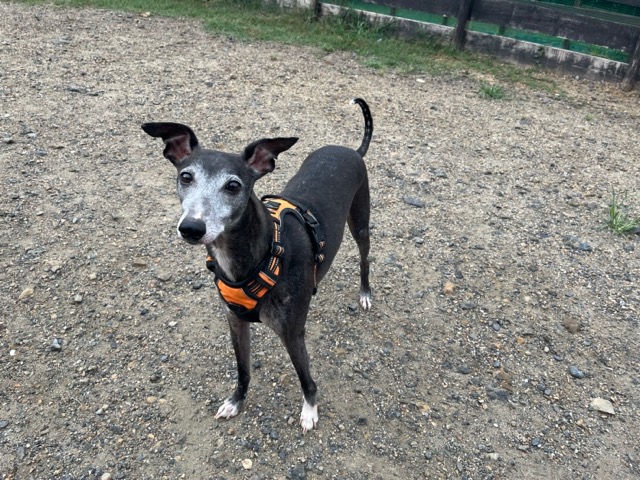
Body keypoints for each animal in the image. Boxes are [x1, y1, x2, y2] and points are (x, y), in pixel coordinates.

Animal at [141, 98, 372, 432]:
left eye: (233, 185)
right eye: (186, 177)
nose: (191, 228)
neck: (256, 257)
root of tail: (352, 150)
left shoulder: (292, 332)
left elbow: (306, 378)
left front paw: (310, 410)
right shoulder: (235, 322)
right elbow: (243, 370)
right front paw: (236, 401)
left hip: (361, 223)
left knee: (365, 260)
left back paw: (365, 293)